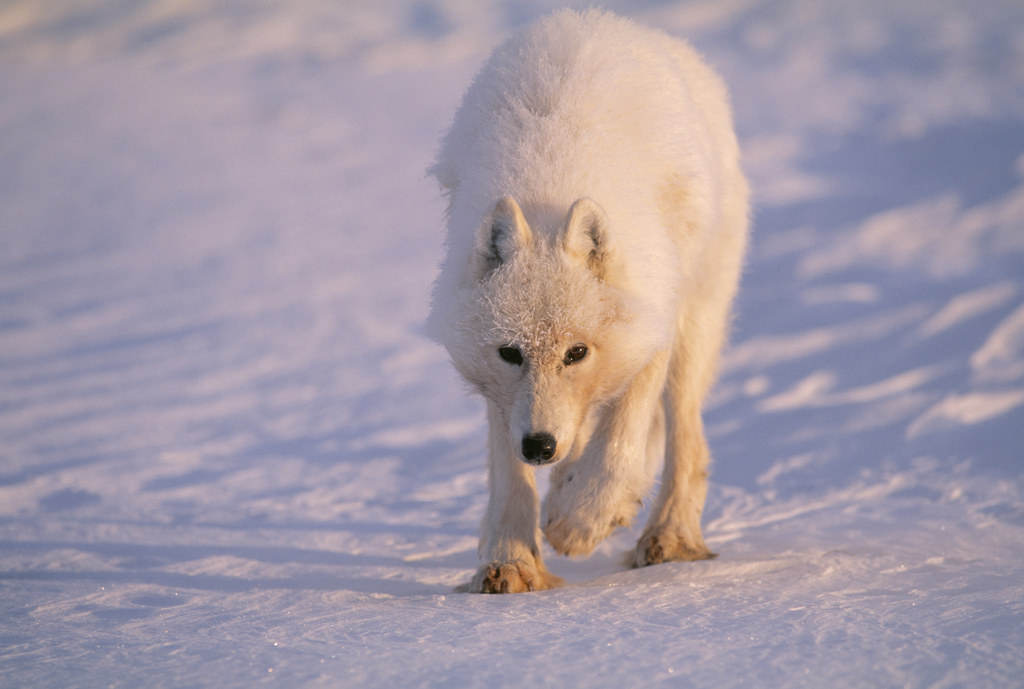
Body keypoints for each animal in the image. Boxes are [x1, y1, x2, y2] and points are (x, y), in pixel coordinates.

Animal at [419, 9, 749, 589]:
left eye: (576, 353)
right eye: (510, 353)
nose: (540, 446)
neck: (550, 177)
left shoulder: (653, 310)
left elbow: (622, 437)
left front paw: (581, 520)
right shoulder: (503, 394)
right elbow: (508, 469)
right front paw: (509, 560)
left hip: (697, 317)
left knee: (686, 436)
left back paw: (669, 536)